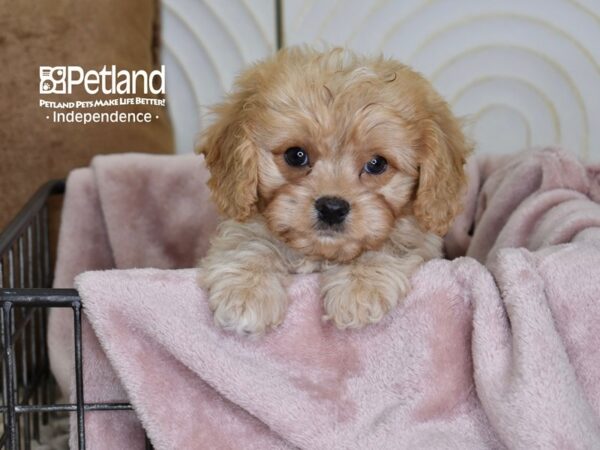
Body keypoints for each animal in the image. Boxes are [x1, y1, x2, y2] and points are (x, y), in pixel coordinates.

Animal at [199, 47, 472, 336]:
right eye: (296, 155)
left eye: (377, 163)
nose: (331, 208)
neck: (321, 253)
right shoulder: (242, 227)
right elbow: (249, 242)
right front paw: (247, 291)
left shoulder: (417, 239)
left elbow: (388, 244)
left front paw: (360, 286)